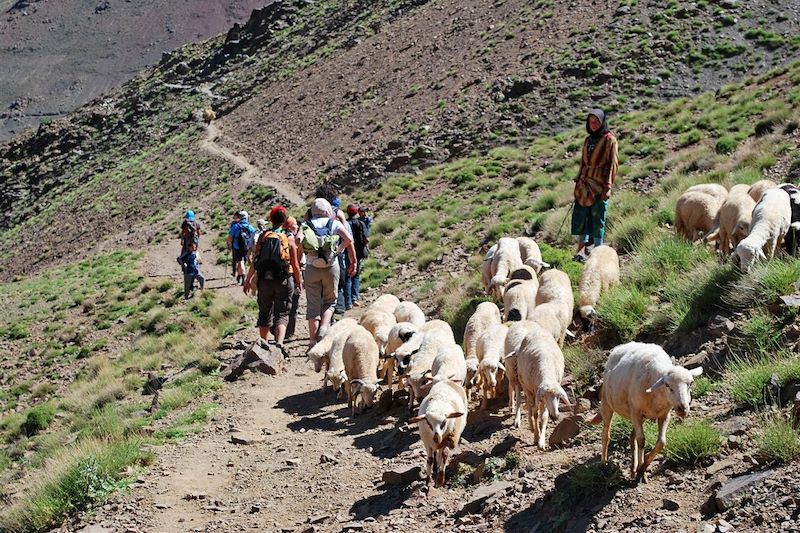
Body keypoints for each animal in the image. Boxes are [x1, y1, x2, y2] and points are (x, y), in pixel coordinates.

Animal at [588, 340, 700, 482]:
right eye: (667, 385)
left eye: (691, 383)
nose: (682, 409)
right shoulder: (636, 412)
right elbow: (641, 440)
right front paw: (641, 470)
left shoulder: (664, 415)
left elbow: (661, 442)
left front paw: (643, 466)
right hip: (607, 403)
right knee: (606, 435)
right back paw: (604, 463)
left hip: (641, 415)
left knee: (632, 436)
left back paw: (633, 468)